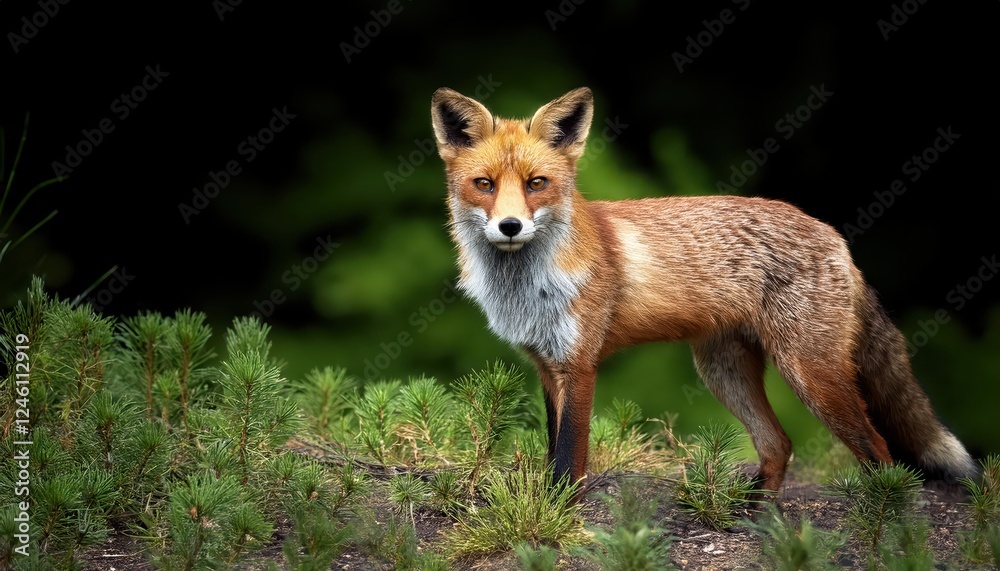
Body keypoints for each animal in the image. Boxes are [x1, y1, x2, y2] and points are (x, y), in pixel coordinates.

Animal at [430, 86, 979, 497]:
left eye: (536, 183)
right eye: (484, 184)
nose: (510, 226)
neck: (527, 286)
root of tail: (835, 236)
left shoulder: (580, 363)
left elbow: (569, 455)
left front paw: (559, 511)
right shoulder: (546, 364)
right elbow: (551, 447)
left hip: (811, 375)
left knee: (880, 452)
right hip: (724, 372)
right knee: (779, 444)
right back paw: (754, 511)